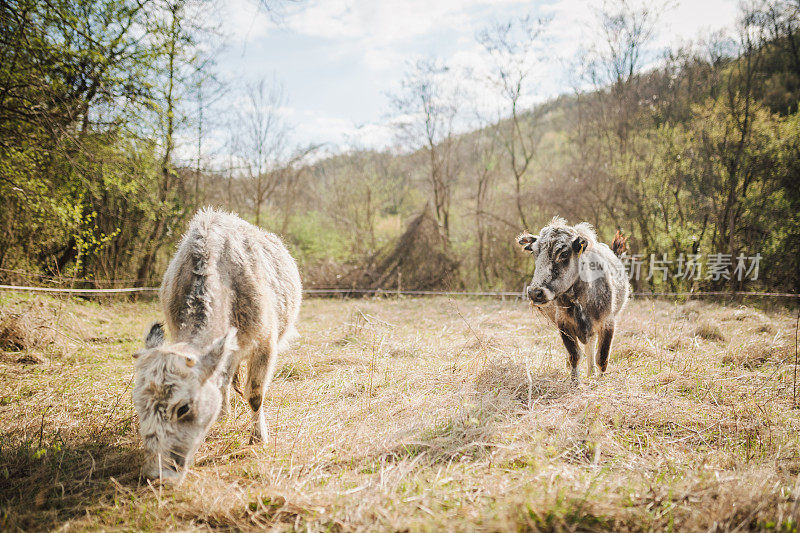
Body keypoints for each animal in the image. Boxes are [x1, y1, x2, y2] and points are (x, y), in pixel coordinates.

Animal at [133, 207, 302, 478]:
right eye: (138, 404)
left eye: (184, 408)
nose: (161, 467)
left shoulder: (265, 344)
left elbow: (255, 395)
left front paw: (258, 438)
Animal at [516, 216, 628, 382]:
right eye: (535, 253)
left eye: (564, 254)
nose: (535, 293)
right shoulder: (563, 324)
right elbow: (574, 354)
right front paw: (575, 381)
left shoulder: (608, 322)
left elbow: (602, 357)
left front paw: (600, 379)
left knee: (591, 347)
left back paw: (591, 372)